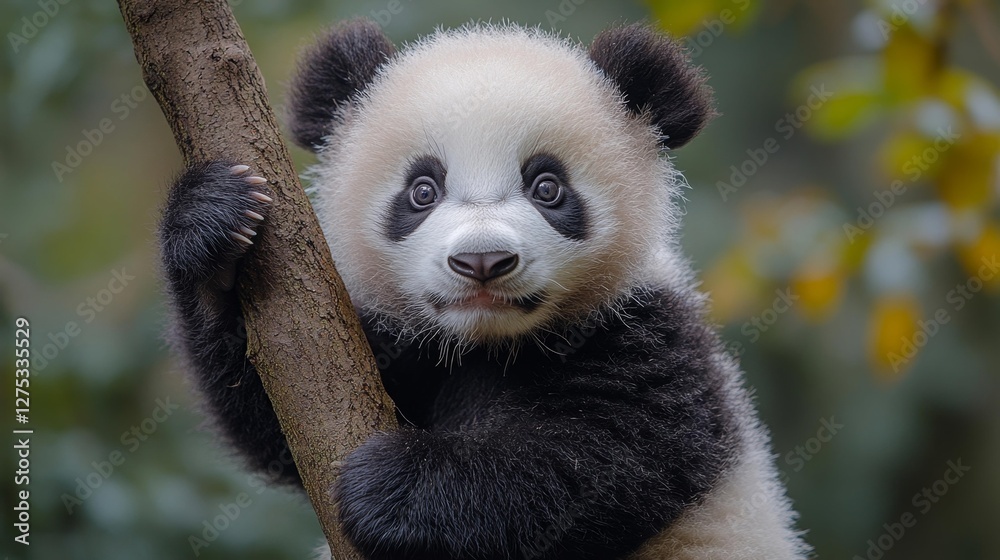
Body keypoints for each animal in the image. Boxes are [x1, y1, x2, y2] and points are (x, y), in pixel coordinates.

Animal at [159, 19, 810, 560]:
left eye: (547, 187)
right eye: (422, 190)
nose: (482, 260)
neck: (489, 344)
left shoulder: (651, 338)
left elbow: (600, 464)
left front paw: (395, 485)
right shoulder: (402, 350)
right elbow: (276, 416)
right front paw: (215, 227)